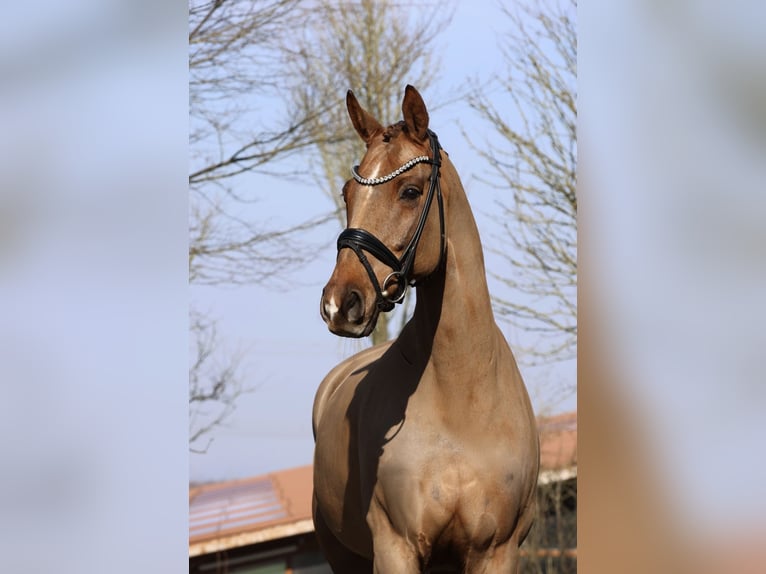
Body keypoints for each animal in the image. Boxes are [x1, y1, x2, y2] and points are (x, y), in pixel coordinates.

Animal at [312, 85, 539, 573]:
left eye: (411, 191)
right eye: (346, 193)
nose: (340, 304)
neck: (462, 396)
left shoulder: (497, 552)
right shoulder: (396, 548)